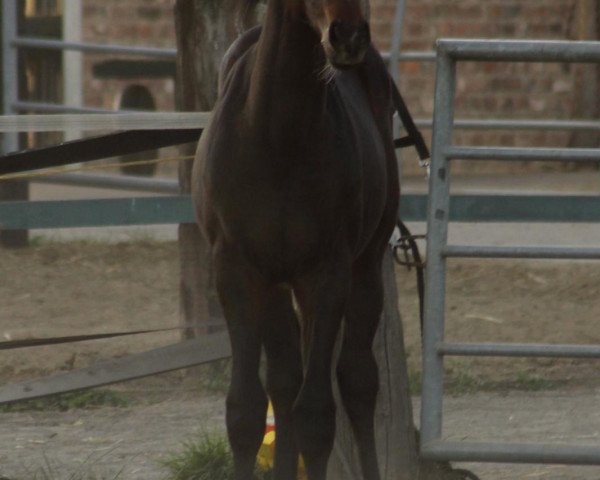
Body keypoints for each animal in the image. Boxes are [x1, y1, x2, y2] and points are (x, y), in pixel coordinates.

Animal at [192, 0, 398, 478]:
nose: (348, 37)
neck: (276, 136)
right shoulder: (238, 272)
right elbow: (246, 410)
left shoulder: (326, 275)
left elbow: (317, 415)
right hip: (275, 284)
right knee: (285, 382)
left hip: (365, 267)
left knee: (358, 381)